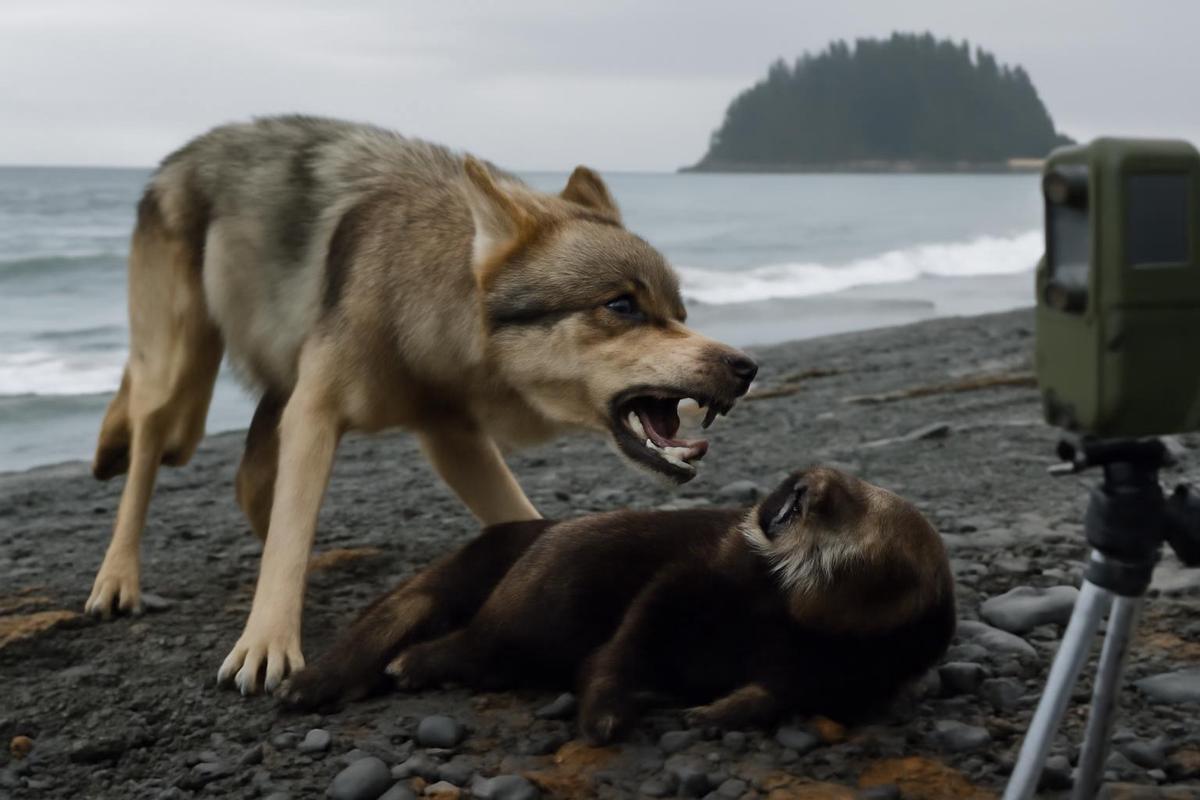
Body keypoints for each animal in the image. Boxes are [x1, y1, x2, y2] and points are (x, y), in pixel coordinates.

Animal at [85, 115, 757, 694]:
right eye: (621, 306)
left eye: (680, 314)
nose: (747, 367)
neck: (421, 293)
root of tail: (179, 155)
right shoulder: (317, 411)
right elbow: (288, 536)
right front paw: (266, 643)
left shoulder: (452, 437)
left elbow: (523, 519)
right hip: (179, 370)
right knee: (146, 452)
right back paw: (117, 578)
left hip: (274, 378)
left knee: (248, 480)